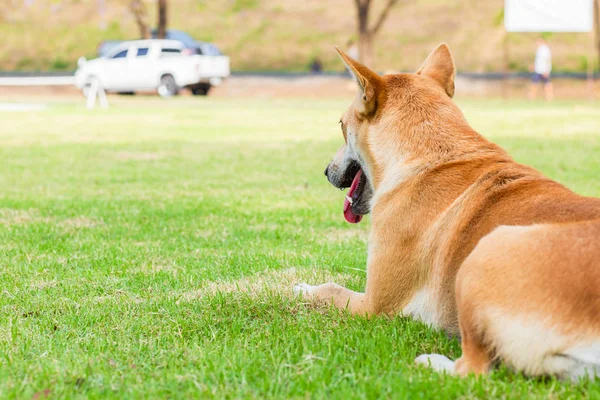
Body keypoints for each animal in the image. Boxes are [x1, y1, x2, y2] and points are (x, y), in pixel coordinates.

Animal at [296, 43, 600, 378]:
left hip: (485, 253)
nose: (326, 171)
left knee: (474, 369)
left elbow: (331, 288)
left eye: (341, 125)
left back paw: (431, 361)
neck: (433, 155)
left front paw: (302, 288)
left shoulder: (373, 305)